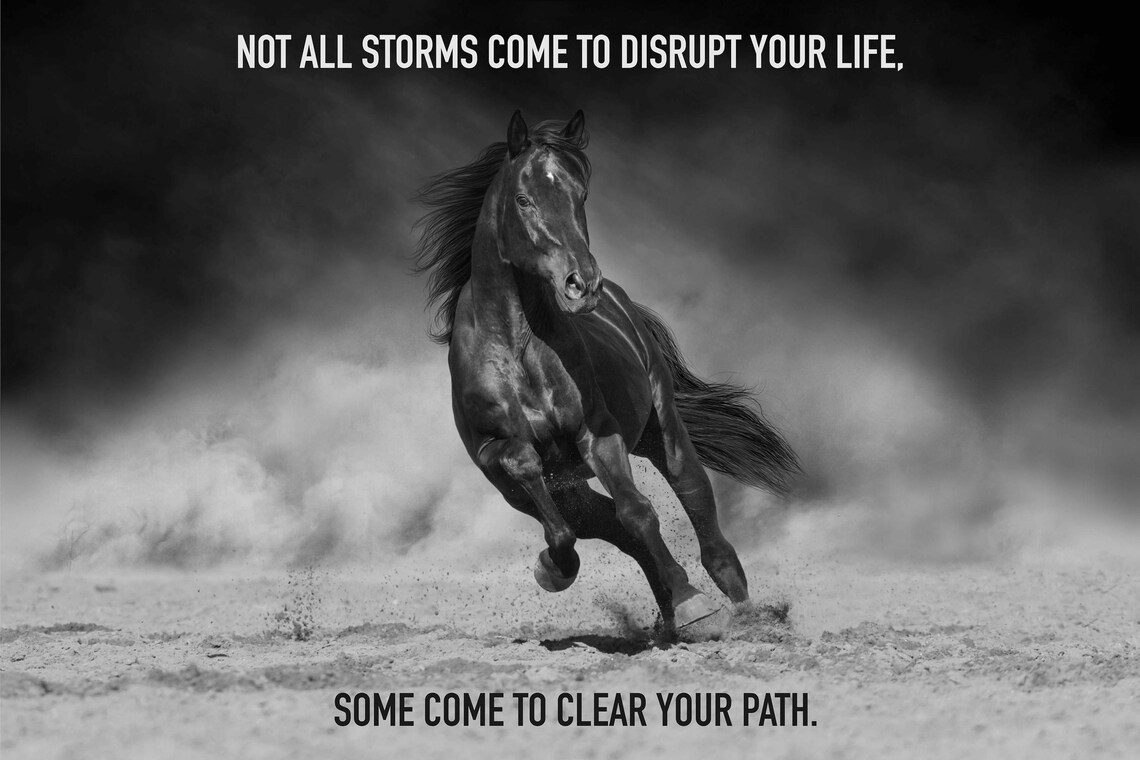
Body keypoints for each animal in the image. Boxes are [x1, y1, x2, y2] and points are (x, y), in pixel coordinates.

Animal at [413, 110, 799, 632]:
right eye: (523, 199)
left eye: (580, 195)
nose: (582, 284)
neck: (516, 349)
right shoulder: (495, 457)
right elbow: (542, 488)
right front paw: (553, 568)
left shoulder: (597, 435)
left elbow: (639, 511)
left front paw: (694, 604)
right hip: (560, 488)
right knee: (608, 527)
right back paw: (665, 611)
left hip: (661, 427)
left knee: (692, 495)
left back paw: (736, 605)